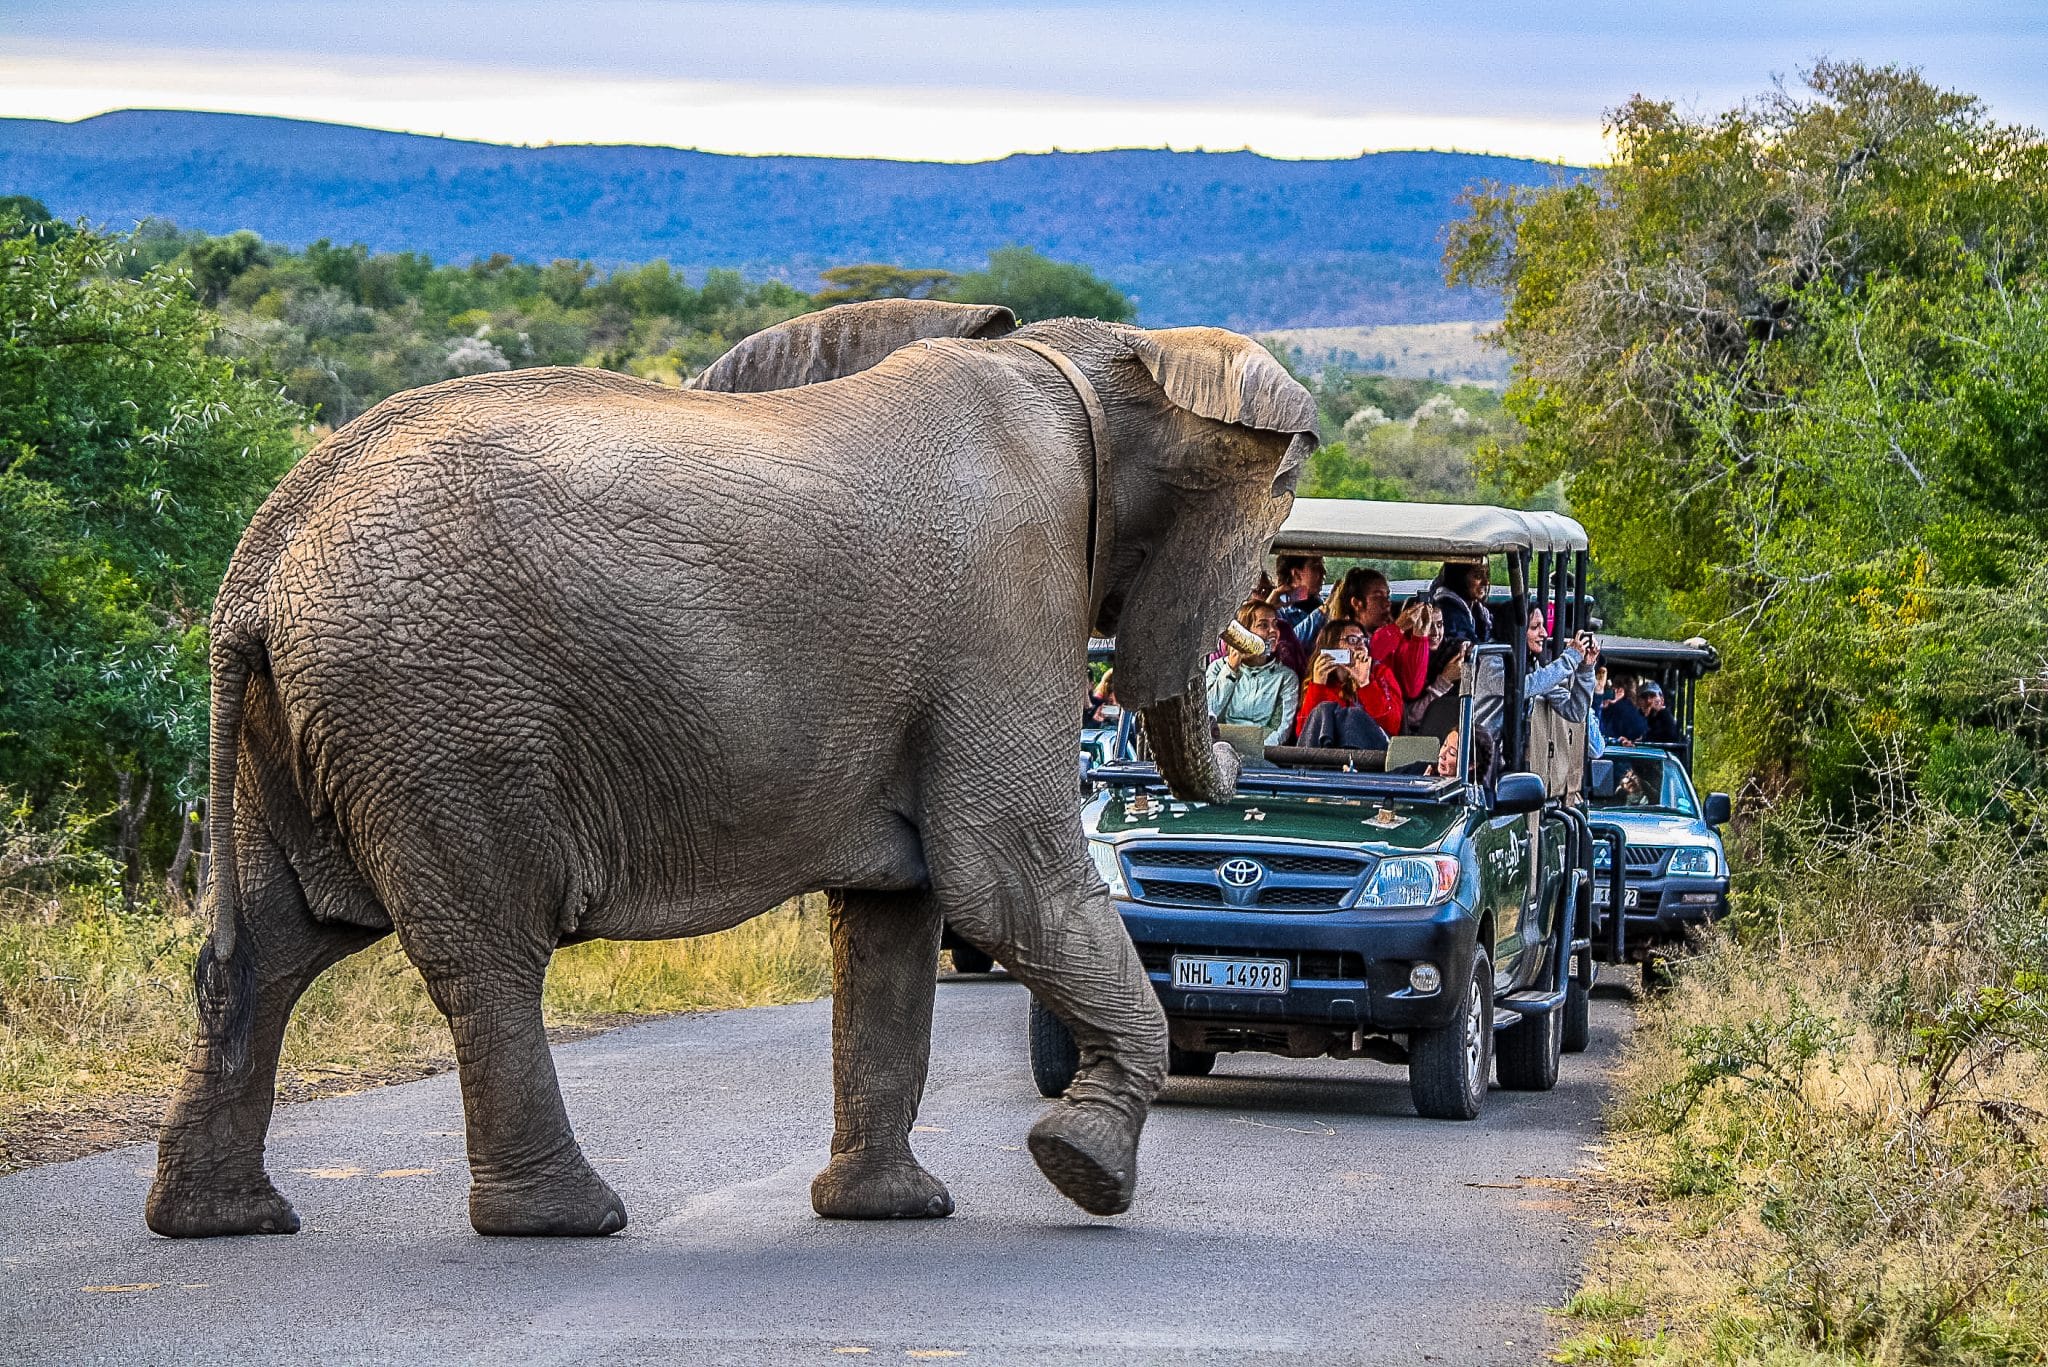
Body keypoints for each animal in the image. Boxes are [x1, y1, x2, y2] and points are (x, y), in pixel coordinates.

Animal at [145, 298, 1317, 1241]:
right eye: (1283, 493)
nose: (1258, 746)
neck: (1094, 359)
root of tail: (263, 553)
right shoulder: (1010, 596)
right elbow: (1005, 876)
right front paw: (1081, 1170)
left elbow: (897, 918)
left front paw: (890, 1212)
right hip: (440, 709)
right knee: (485, 949)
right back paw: (565, 1219)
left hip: (315, 720)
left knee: (276, 944)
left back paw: (221, 1220)